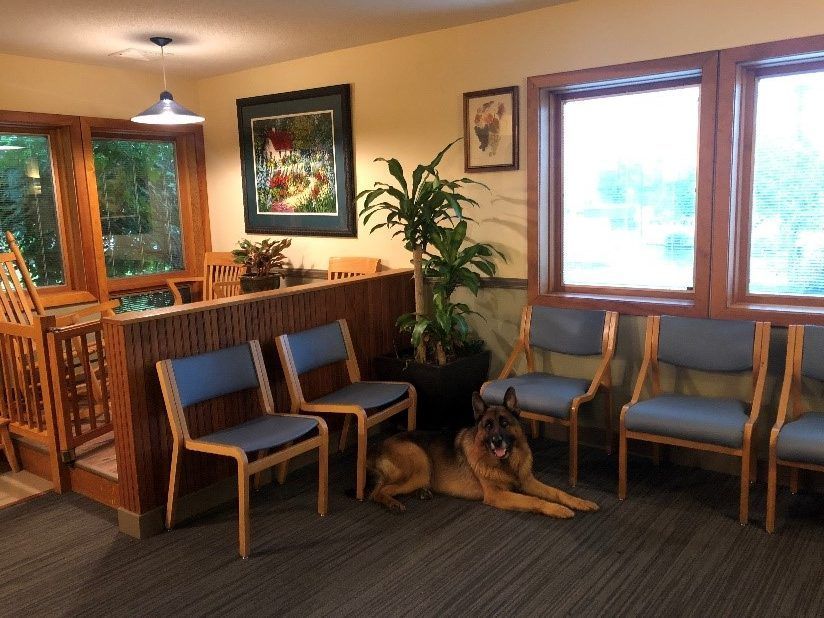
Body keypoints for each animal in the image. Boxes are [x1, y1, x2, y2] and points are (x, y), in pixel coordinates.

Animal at [368, 384, 600, 516]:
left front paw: (579, 502)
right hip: (420, 462)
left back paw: (422, 492)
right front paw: (559, 510)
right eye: (488, 426)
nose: (497, 441)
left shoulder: (528, 482)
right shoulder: (498, 495)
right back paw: (392, 503)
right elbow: (534, 500)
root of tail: (379, 446)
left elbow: (558, 492)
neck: (507, 464)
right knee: (377, 492)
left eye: (504, 423)